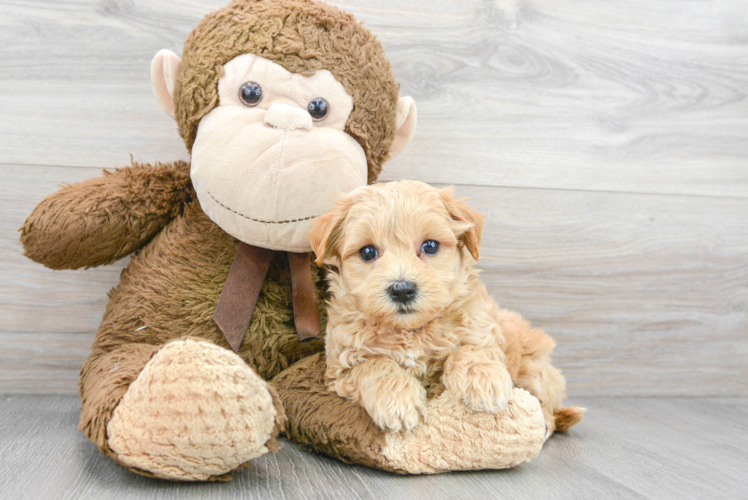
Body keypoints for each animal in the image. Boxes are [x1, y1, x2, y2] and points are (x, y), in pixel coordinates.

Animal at [310, 180, 584, 434]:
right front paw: (397, 401)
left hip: (535, 367)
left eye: (430, 246)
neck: (411, 332)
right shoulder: (340, 365)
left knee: (546, 407)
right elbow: (375, 365)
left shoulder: (480, 325)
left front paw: (483, 379)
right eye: (367, 252)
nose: (402, 289)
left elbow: (470, 350)